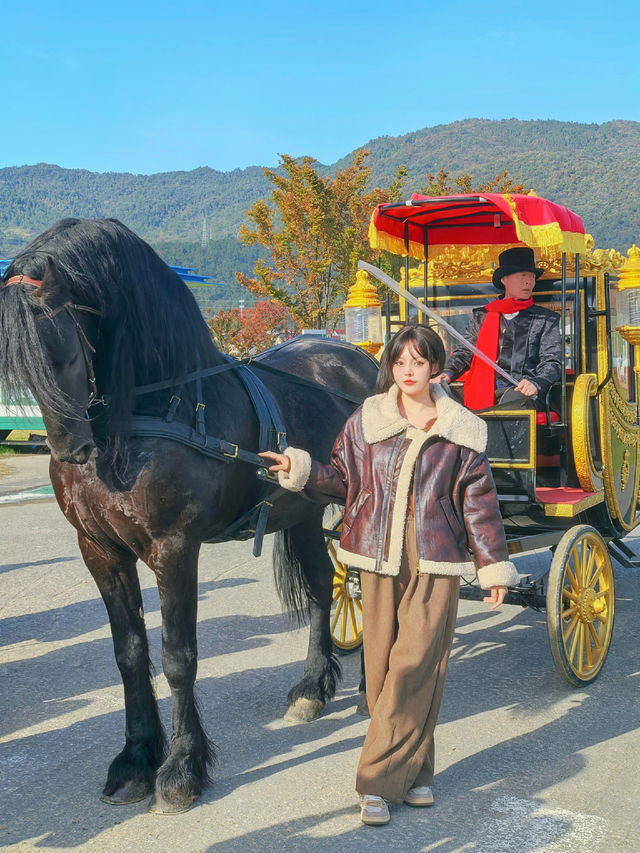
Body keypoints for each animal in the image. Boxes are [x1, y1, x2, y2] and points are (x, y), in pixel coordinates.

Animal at [0, 218, 378, 812]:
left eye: (59, 339)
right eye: (13, 356)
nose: (69, 450)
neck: (151, 410)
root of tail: (359, 356)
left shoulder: (174, 547)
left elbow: (178, 656)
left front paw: (180, 768)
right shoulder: (100, 550)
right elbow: (130, 654)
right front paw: (135, 758)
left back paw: (368, 689)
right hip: (303, 511)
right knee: (323, 586)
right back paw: (312, 688)